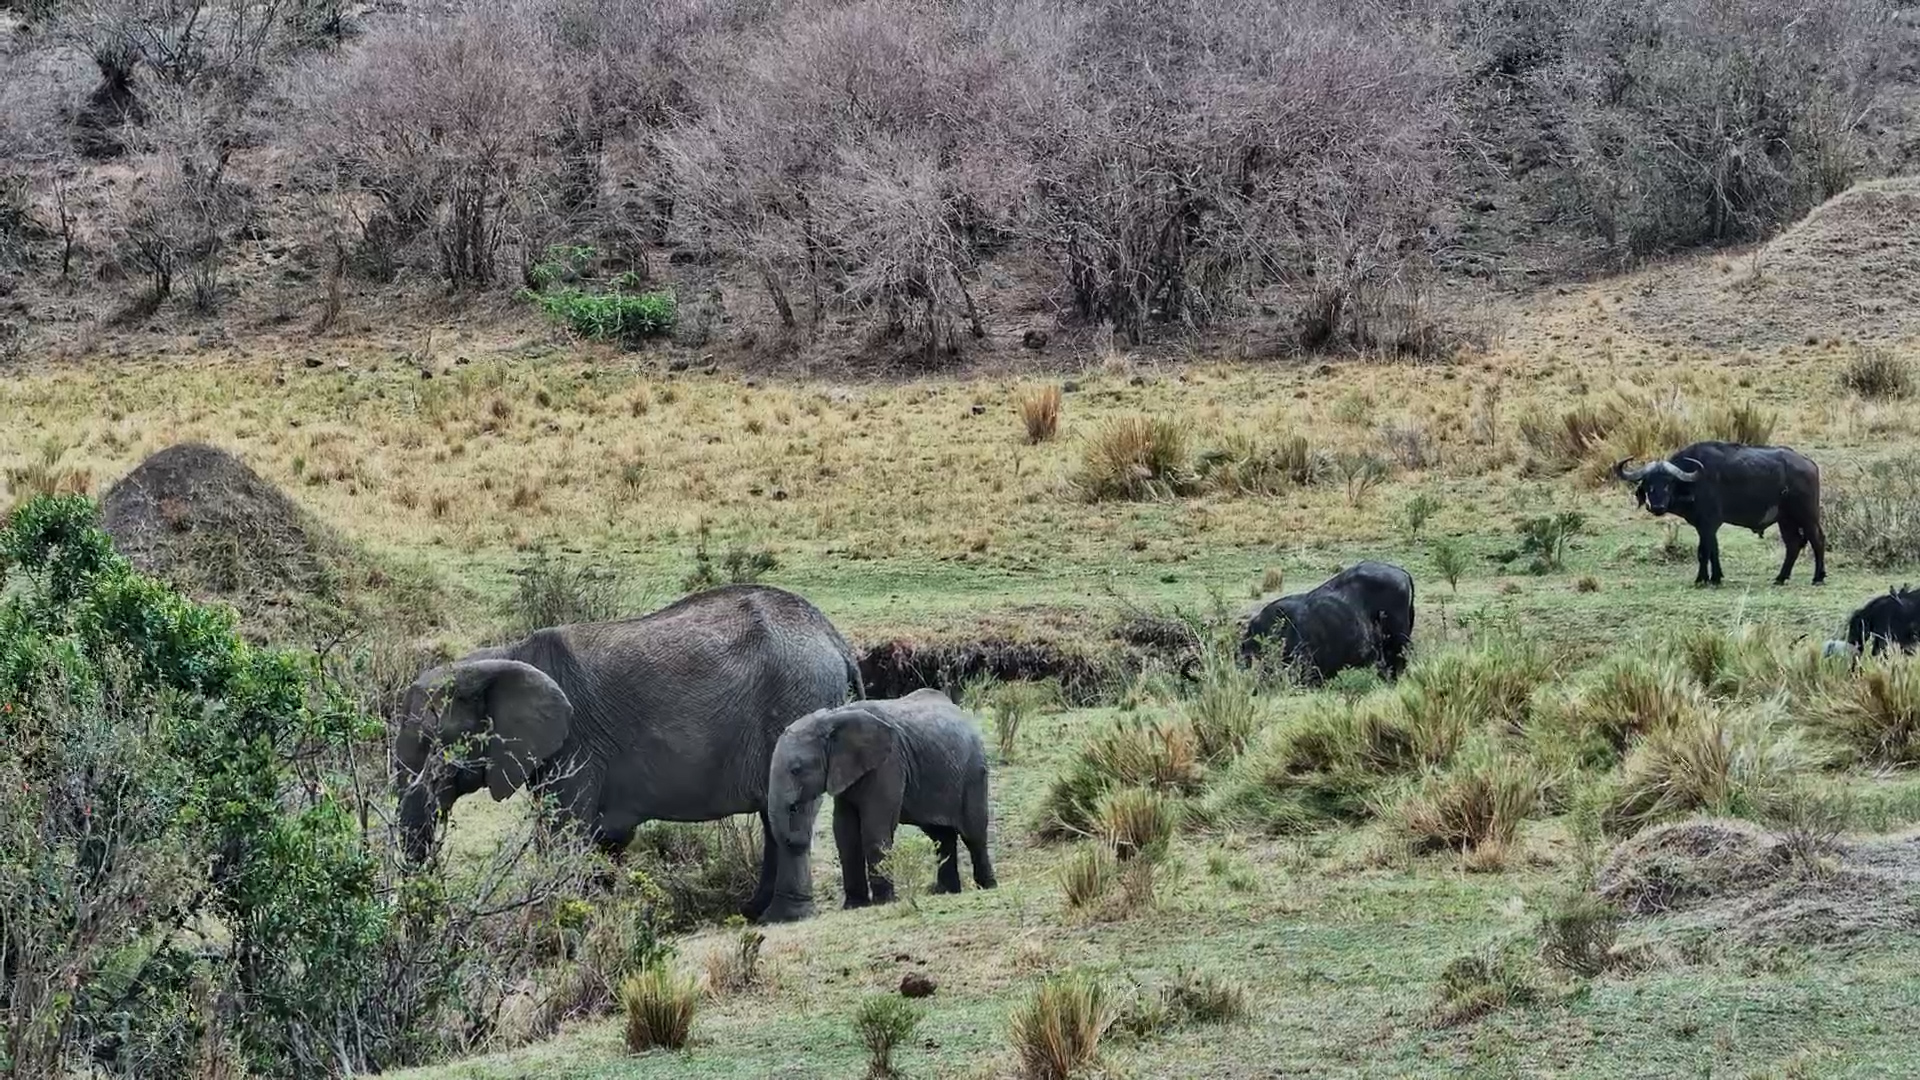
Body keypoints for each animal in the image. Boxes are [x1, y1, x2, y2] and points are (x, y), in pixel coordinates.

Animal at [393, 584, 862, 921]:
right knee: (772, 815)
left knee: (790, 816)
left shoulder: (577, 744)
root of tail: (836, 639)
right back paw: (752, 911)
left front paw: (558, 922)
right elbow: (600, 838)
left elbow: (562, 834)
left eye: (431, 743)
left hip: (798, 700)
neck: (501, 658)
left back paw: (780, 917)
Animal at [760, 688, 997, 923]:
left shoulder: (888, 763)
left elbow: (874, 829)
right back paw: (946, 891)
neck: (833, 717)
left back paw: (987, 886)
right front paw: (854, 905)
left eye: (796, 769)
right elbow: (845, 835)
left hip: (973, 773)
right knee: (941, 836)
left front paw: (884, 902)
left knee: (973, 834)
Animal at [1613, 441, 1826, 587]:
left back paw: (1818, 577)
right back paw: (1781, 578)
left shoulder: (1708, 523)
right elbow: (1713, 550)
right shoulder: (1705, 527)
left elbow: (1703, 551)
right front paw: (1715, 577)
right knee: (1793, 544)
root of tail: (1809, 463)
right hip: (1786, 520)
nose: (1656, 506)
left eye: (1668, 483)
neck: (1694, 481)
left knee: (1817, 540)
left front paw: (1702, 579)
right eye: (1648, 483)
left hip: (1807, 516)